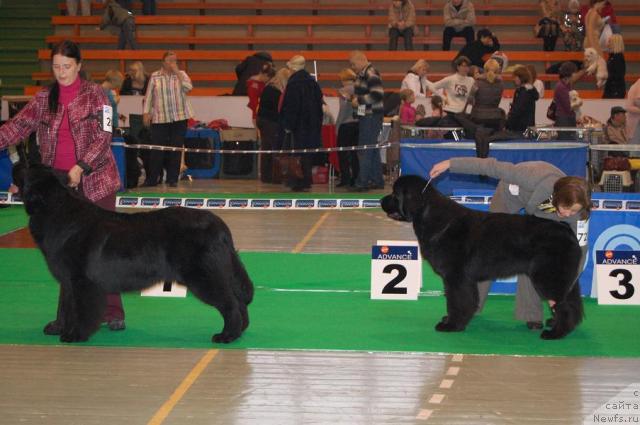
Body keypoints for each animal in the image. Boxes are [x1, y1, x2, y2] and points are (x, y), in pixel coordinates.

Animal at [11, 162, 254, 344]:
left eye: (27, 168)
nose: (15, 163)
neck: (57, 211)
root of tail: (219, 225)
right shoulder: (68, 280)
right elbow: (66, 305)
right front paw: (60, 328)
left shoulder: (81, 280)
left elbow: (81, 309)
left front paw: (75, 335)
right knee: (238, 301)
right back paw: (240, 331)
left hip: (204, 276)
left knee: (230, 303)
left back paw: (227, 336)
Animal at [380, 175, 584, 338]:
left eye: (394, 194)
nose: (381, 200)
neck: (433, 218)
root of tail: (565, 227)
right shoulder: (461, 279)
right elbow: (461, 300)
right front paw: (452, 320)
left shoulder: (456, 277)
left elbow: (457, 301)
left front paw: (452, 325)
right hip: (566, 279)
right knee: (572, 303)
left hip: (549, 277)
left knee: (564, 305)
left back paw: (556, 333)